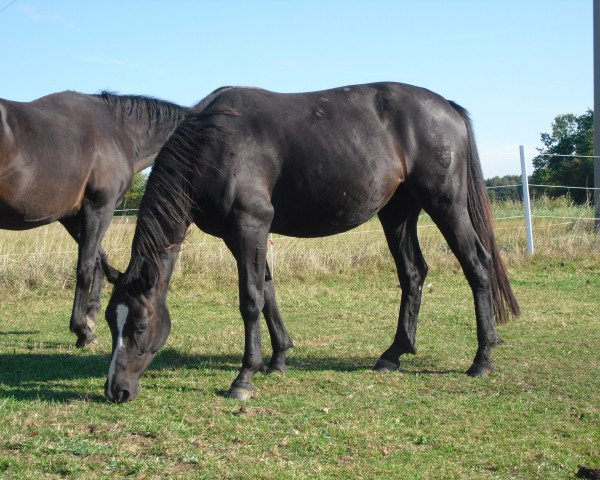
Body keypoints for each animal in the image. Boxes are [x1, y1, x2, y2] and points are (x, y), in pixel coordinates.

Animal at [0, 90, 190, 344]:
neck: (119, 130)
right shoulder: (100, 208)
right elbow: (86, 266)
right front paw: (83, 329)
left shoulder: (72, 217)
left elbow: (100, 258)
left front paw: (90, 315)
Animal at [104, 81, 520, 402]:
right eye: (110, 321)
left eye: (139, 325)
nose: (116, 390)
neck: (214, 142)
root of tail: (447, 107)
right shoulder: (238, 235)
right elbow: (267, 290)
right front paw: (278, 358)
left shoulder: (249, 225)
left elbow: (250, 300)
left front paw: (244, 378)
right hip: (397, 212)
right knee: (413, 273)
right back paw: (394, 353)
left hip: (445, 203)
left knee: (477, 264)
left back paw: (482, 359)